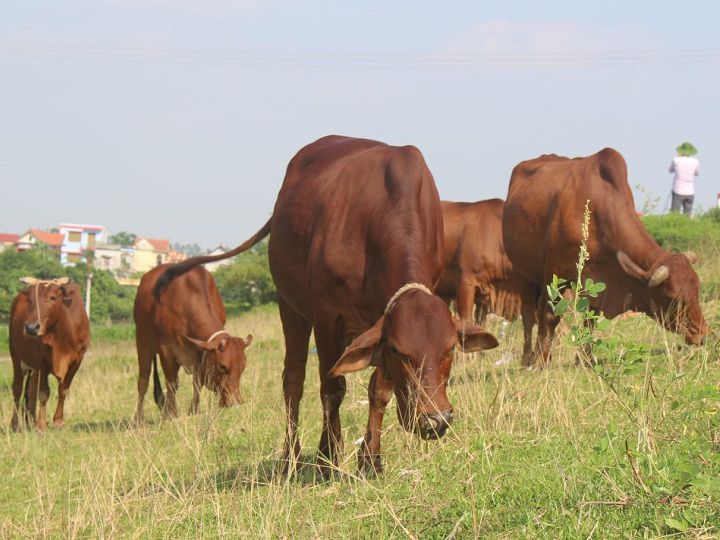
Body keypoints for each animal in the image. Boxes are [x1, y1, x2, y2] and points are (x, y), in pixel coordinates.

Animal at [9, 278, 89, 430]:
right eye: (30, 300)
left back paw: (31, 420)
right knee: (17, 389)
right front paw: (41, 425)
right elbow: (44, 393)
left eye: (52, 297)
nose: (31, 327)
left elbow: (63, 389)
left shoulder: (78, 360)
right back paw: (15, 424)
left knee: (31, 389)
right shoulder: (41, 361)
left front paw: (58, 420)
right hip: (16, 356)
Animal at [134, 262, 255, 422]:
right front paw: (171, 414)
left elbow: (197, 382)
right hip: (143, 341)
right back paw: (138, 418)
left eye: (243, 367)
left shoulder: (199, 352)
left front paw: (193, 411)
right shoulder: (167, 351)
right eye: (222, 366)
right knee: (143, 381)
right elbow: (172, 384)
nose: (234, 402)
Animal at [504, 148, 704, 368]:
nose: (701, 333)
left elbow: (590, 318)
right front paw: (542, 360)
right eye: (674, 299)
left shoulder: (597, 282)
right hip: (524, 274)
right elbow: (549, 317)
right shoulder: (554, 273)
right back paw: (528, 358)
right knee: (529, 315)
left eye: (697, 290)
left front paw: (585, 359)